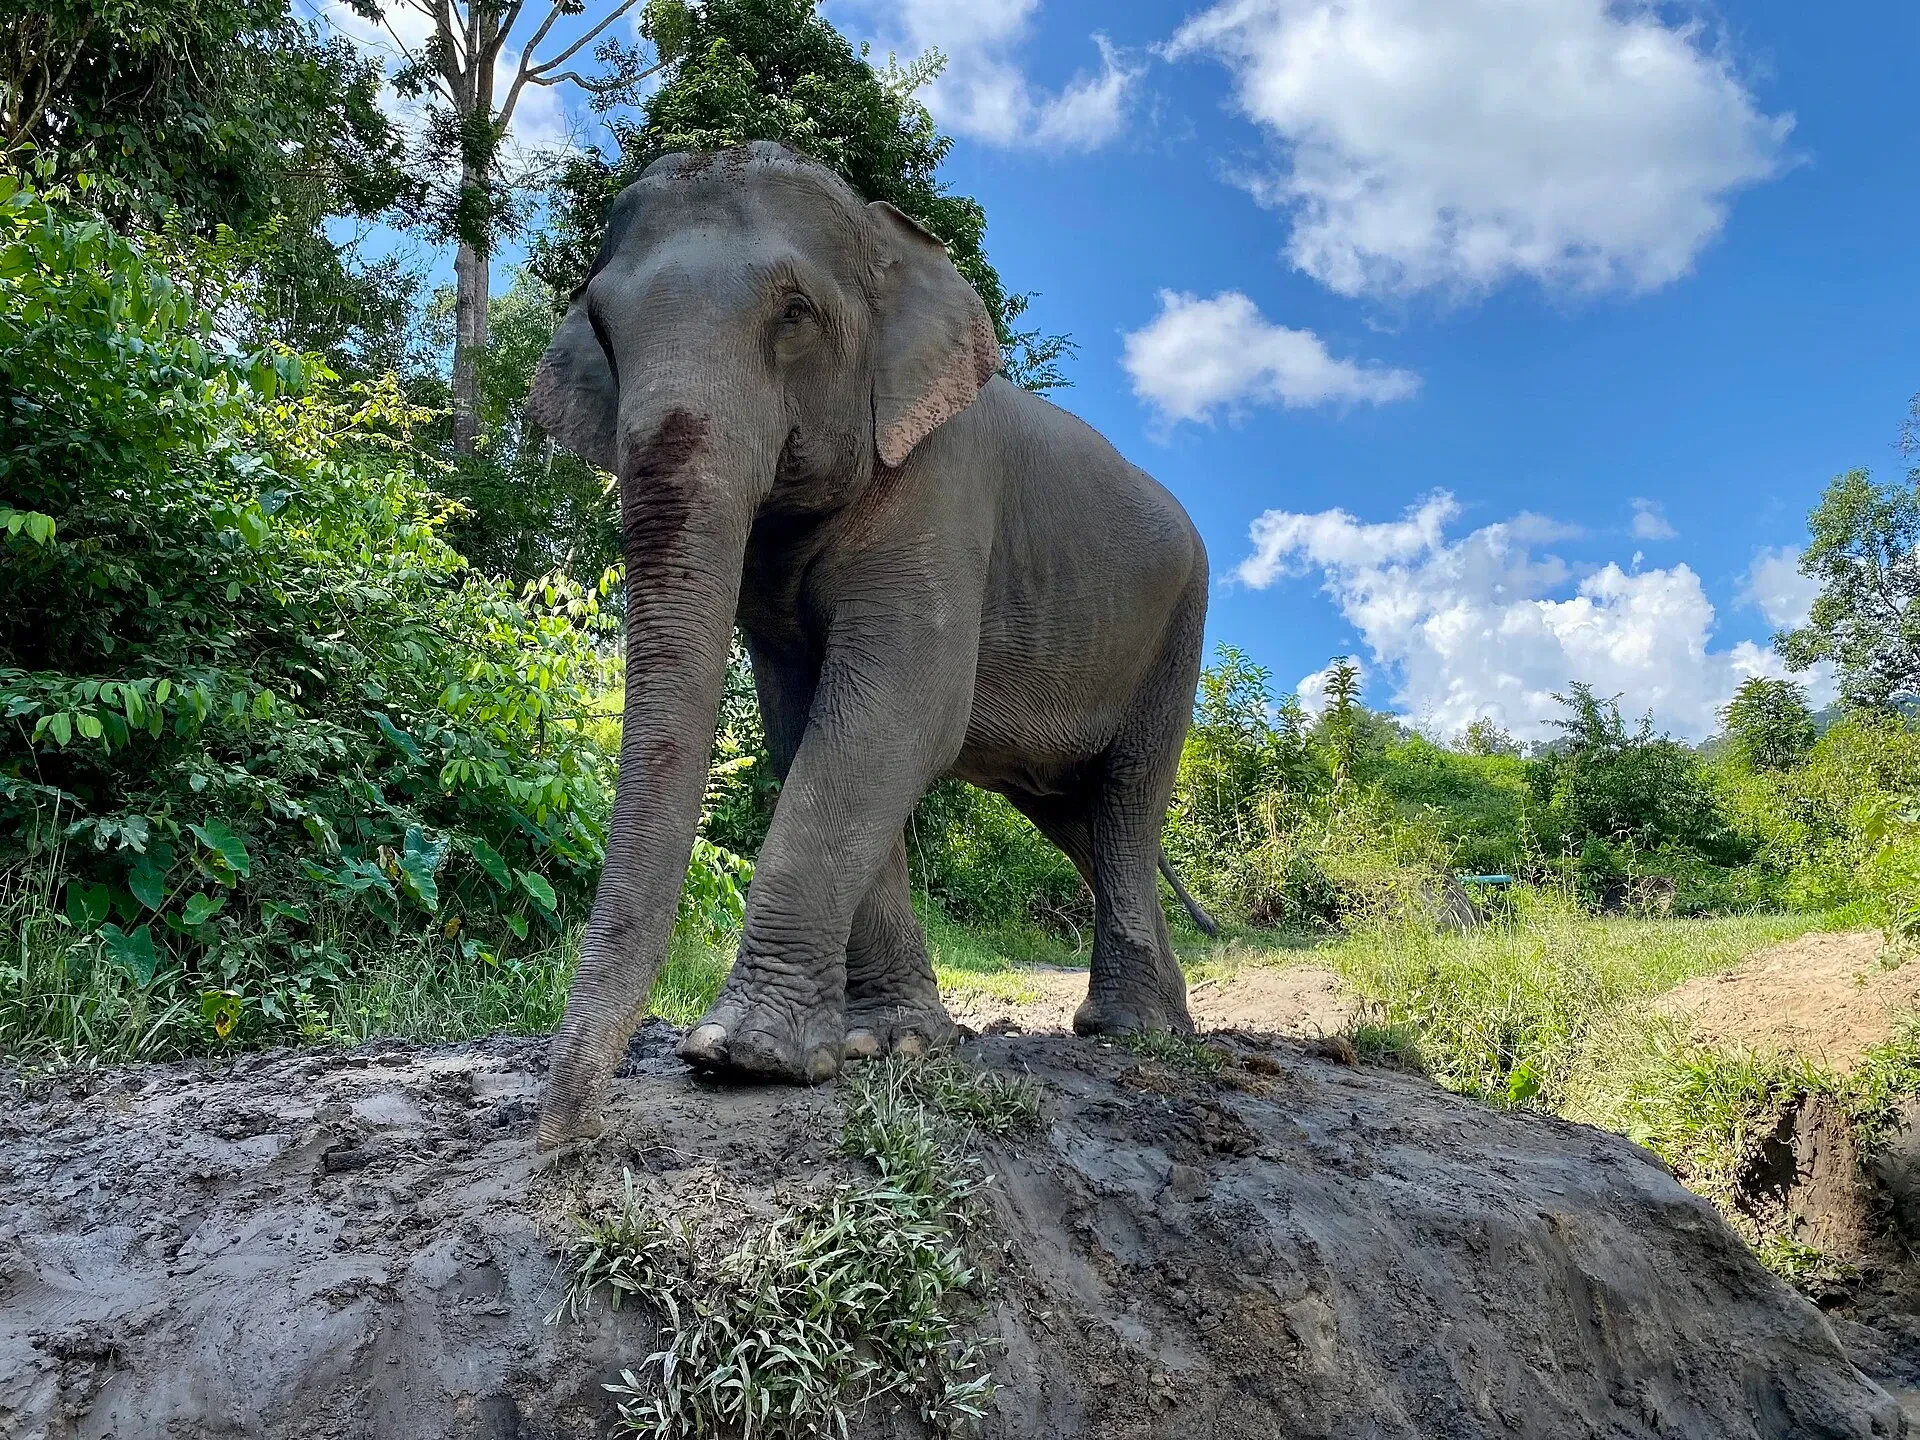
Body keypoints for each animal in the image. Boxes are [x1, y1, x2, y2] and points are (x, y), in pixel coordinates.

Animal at [529, 142, 1215, 1147]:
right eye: (604, 331)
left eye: (795, 314)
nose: (561, 1137)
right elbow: (805, 723)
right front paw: (891, 1044)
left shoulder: (942, 490)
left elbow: (896, 715)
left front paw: (741, 1057)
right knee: (1079, 819)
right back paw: (1171, 1021)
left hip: (1178, 627)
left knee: (1127, 798)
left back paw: (1129, 1031)